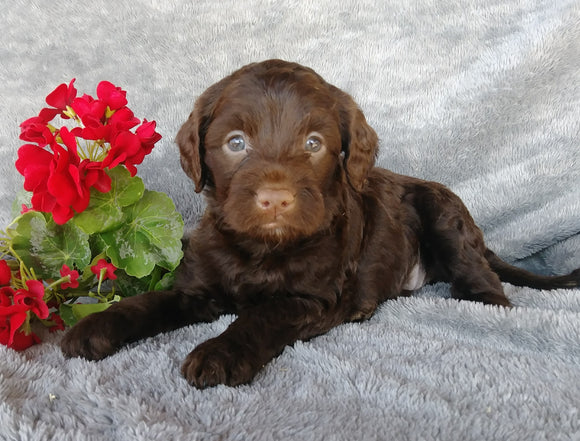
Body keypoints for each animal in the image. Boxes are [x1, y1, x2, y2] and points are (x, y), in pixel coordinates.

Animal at [61, 60, 576, 386]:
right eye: (235, 143)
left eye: (313, 143)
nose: (275, 199)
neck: (262, 248)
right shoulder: (197, 287)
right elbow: (148, 302)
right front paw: (95, 326)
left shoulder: (313, 298)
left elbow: (260, 315)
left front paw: (218, 354)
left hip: (444, 214)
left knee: (484, 278)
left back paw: (488, 307)